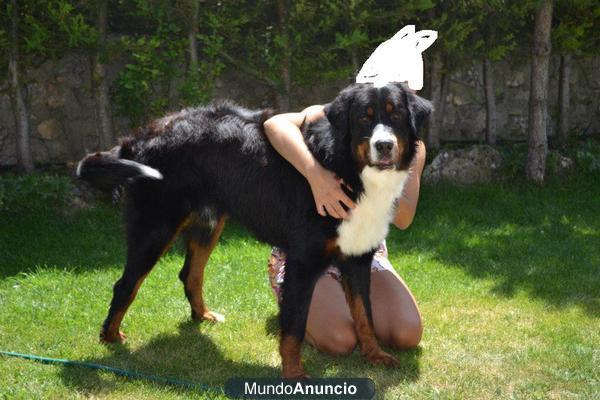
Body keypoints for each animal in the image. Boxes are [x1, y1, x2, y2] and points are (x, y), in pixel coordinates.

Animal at [77, 82, 432, 378]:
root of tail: (139, 137)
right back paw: (110, 337)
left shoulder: (357, 258)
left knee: (190, 273)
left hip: (208, 223)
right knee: (125, 285)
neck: (347, 170)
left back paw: (202, 316)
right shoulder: (303, 263)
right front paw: (294, 374)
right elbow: (294, 326)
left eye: (396, 115)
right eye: (363, 118)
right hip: (156, 227)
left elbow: (364, 315)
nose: (384, 145)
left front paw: (375, 355)